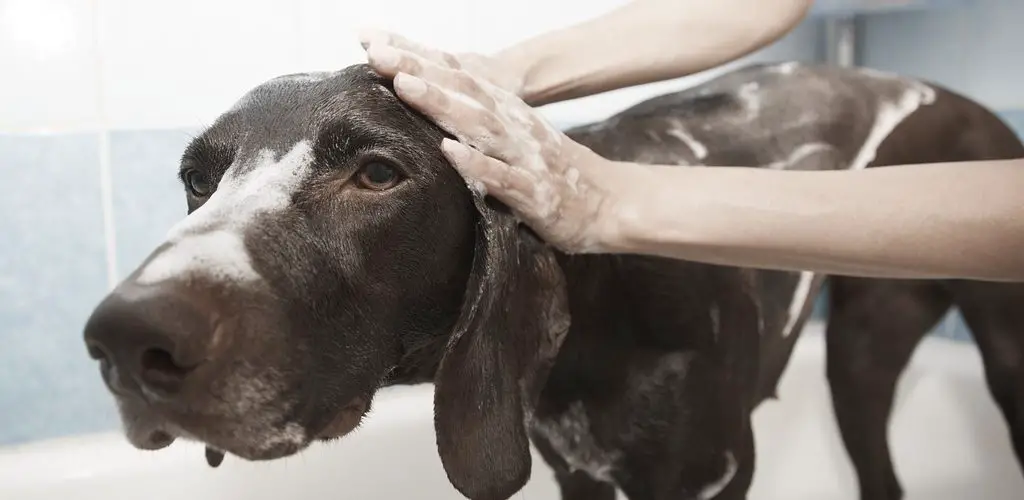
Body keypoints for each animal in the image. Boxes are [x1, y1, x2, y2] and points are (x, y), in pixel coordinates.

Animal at [81, 62, 1024, 500]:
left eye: (378, 173)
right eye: (198, 179)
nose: (125, 339)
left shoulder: (713, 475)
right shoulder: (578, 472)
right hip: (858, 365)